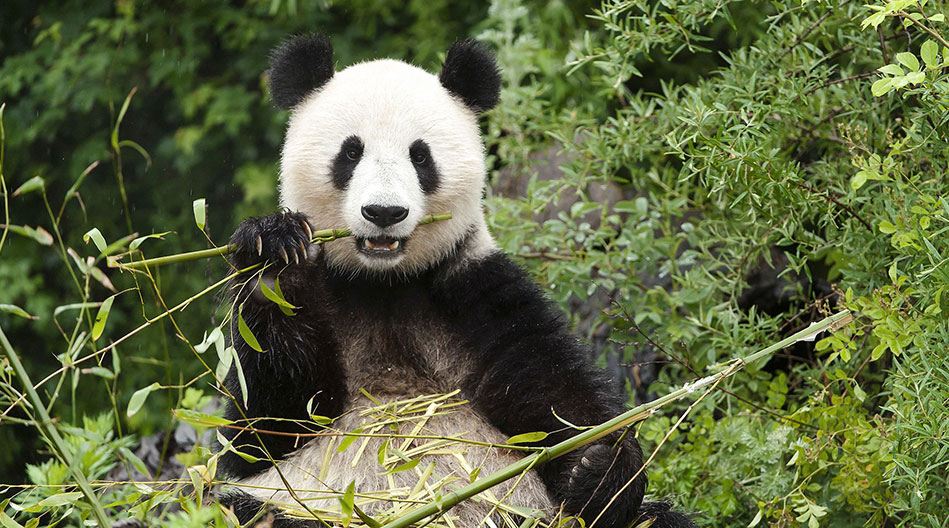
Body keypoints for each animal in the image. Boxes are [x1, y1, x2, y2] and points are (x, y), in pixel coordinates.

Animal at [220, 35, 696, 528]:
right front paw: (274, 255)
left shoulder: (474, 294)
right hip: (295, 506)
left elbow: (557, 394)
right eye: (350, 153)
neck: (383, 284)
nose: (384, 213)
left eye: (420, 155)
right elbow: (268, 425)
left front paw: (599, 468)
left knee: (657, 520)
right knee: (243, 508)